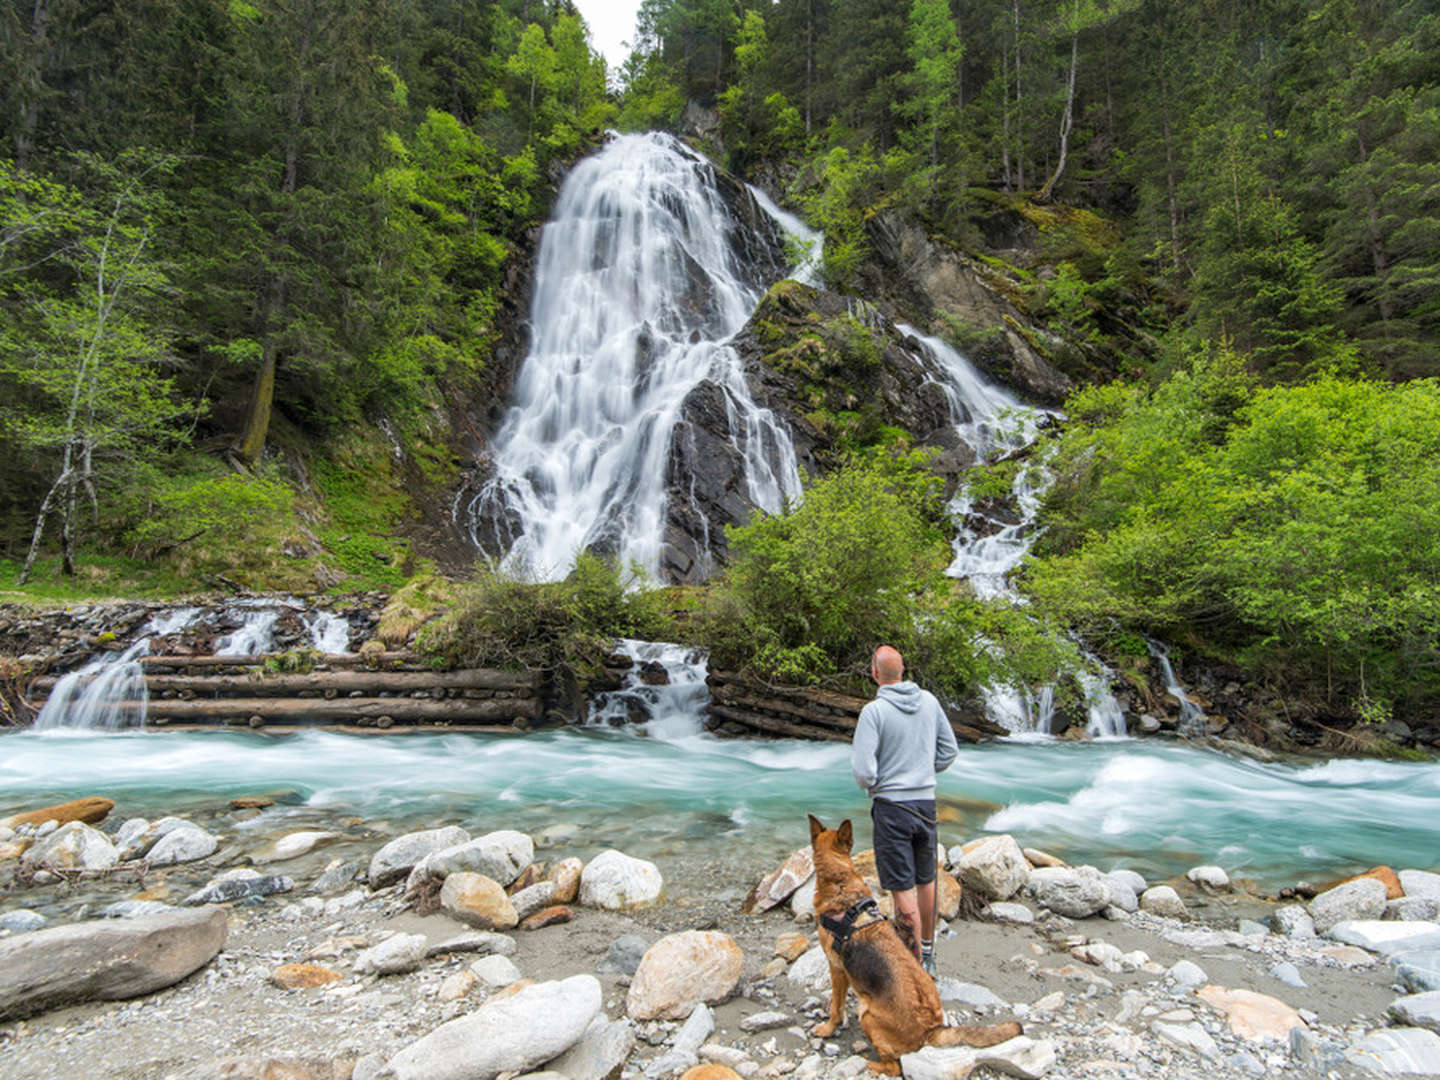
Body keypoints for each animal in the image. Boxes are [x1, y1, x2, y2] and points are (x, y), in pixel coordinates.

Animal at [812, 817, 1025, 1077]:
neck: (839, 881)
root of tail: (932, 1030)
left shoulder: (836, 968)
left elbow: (836, 1006)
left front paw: (827, 1028)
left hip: (868, 1016)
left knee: (894, 1067)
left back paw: (868, 1064)